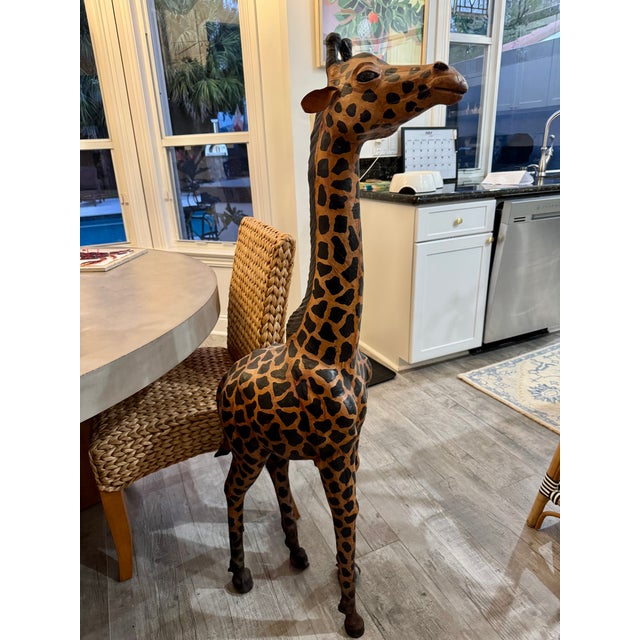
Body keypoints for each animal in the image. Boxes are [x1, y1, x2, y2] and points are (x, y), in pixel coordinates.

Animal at [216, 32, 467, 638]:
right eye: (368, 75)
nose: (449, 75)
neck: (331, 343)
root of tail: (223, 385)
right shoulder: (333, 453)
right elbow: (346, 520)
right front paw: (352, 614)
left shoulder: (352, 446)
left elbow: (347, 524)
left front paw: (338, 579)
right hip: (247, 444)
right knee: (232, 491)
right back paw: (240, 573)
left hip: (273, 444)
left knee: (278, 479)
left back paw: (295, 551)